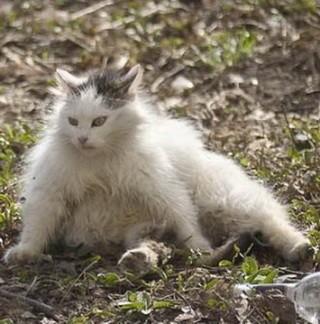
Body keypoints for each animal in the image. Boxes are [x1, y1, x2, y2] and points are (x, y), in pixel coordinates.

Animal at [3, 63, 312, 270]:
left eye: (99, 121)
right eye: (73, 121)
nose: (82, 138)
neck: (101, 158)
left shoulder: (162, 188)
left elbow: (185, 220)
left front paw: (200, 248)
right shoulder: (49, 191)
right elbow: (37, 224)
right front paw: (26, 251)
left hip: (224, 199)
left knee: (271, 220)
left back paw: (300, 248)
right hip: (142, 228)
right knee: (155, 245)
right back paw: (138, 260)